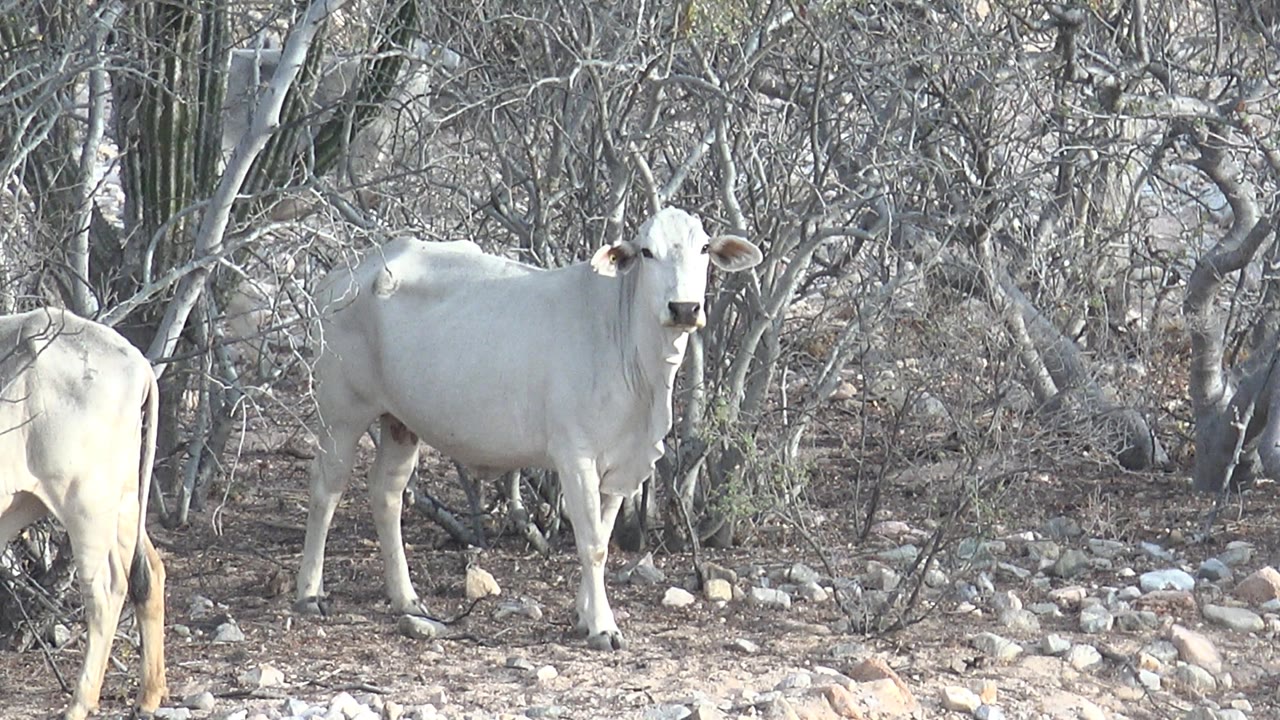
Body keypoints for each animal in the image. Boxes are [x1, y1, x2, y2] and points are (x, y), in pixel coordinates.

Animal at [0, 308, 166, 720]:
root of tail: (139, 362)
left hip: (84, 501)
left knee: (107, 590)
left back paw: (79, 702)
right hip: (122, 501)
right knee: (149, 573)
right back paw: (149, 694)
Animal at [296, 208, 762, 650]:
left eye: (704, 249)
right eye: (647, 251)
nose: (684, 309)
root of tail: (347, 271)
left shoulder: (619, 464)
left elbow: (602, 535)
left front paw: (583, 616)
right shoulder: (575, 455)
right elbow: (592, 543)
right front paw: (603, 627)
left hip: (400, 421)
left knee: (387, 494)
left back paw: (405, 597)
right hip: (341, 410)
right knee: (326, 488)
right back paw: (309, 593)